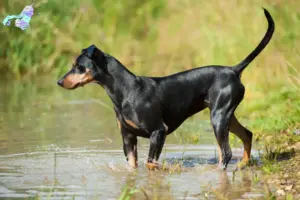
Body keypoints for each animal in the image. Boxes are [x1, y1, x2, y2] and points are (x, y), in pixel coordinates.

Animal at [57, 8, 276, 170]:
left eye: (79, 66)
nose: (59, 82)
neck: (126, 91)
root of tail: (233, 70)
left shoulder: (158, 131)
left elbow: (150, 163)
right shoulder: (128, 137)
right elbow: (134, 166)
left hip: (219, 117)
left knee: (227, 152)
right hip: (226, 116)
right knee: (247, 135)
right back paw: (243, 164)